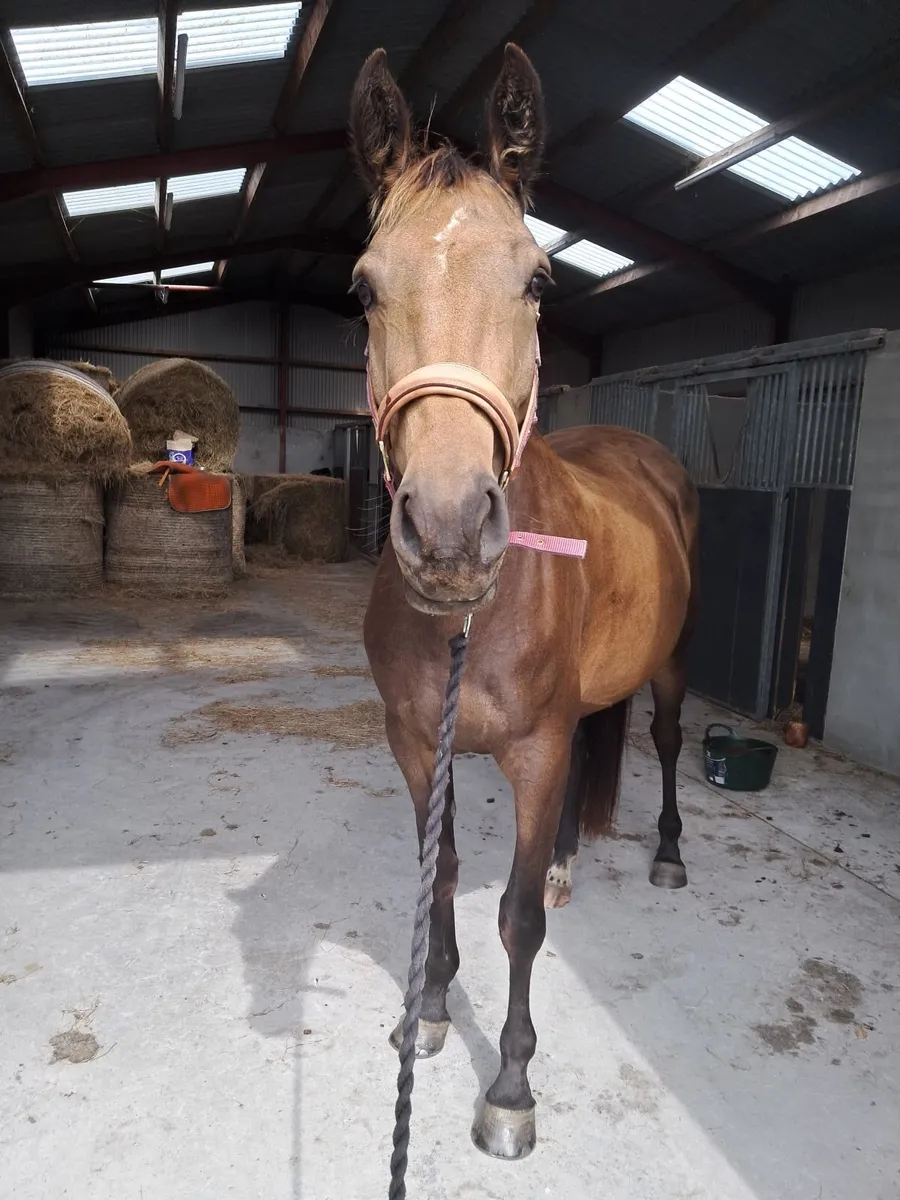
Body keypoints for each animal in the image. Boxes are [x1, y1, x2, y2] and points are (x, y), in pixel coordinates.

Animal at [353, 44, 699, 1161]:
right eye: (365, 288)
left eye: (539, 279)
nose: (450, 526)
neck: (473, 616)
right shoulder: (417, 741)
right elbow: (444, 872)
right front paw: (424, 1012)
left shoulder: (537, 752)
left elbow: (514, 920)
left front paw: (509, 1087)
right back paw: (567, 861)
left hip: (671, 667)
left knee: (663, 742)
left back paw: (664, 854)